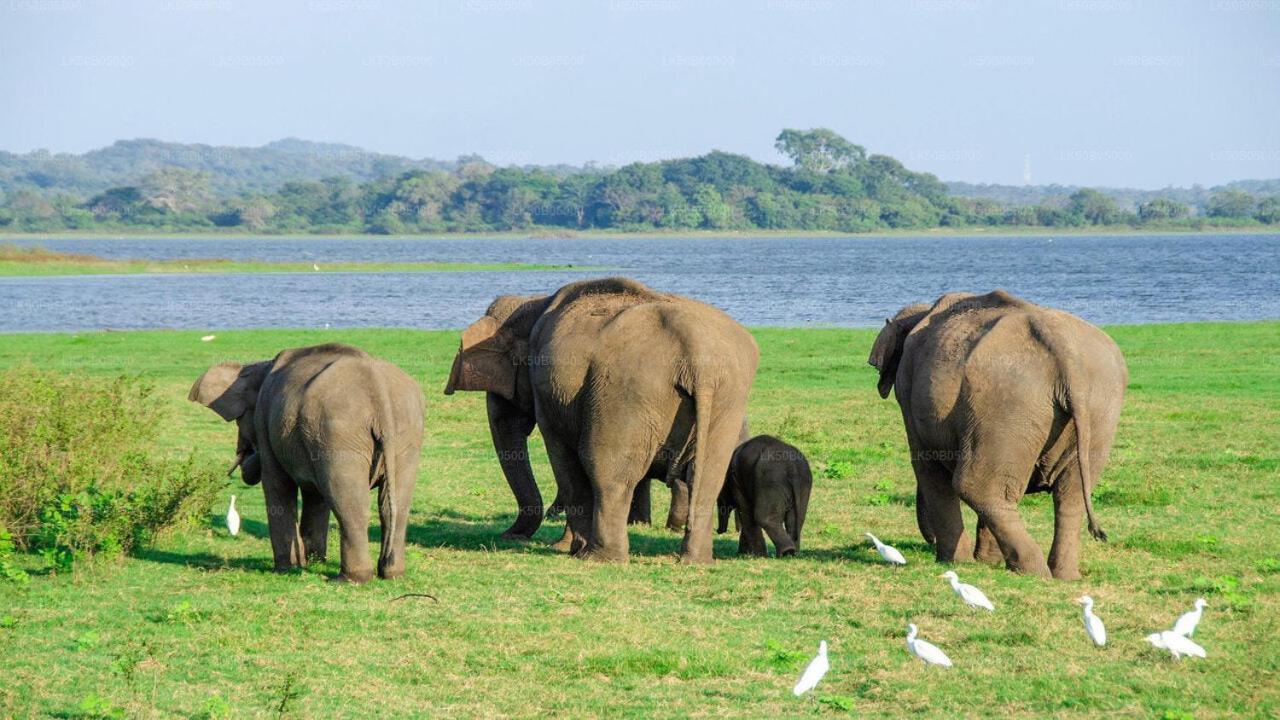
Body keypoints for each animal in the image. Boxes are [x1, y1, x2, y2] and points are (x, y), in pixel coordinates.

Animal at [189, 338, 427, 579]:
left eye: (240, 419)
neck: (260, 366)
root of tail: (379, 389)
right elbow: (316, 495)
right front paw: (314, 561)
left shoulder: (267, 422)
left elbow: (278, 484)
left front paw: (287, 568)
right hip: (405, 432)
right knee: (394, 503)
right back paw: (392, 572)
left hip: (339, 433)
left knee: (349, 501)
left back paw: (351, 579)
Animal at [445, 274, 752, 561]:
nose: (508, 536)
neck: (534, 301)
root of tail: (698, 359)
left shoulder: (547, 392)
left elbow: (562, 457)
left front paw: (564, 547)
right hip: (727, 397)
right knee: (708, 476)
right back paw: (695, 561)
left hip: (625, 392)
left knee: (605, 468)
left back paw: (598, 557)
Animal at [865, 286, 1126, 576]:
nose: (928, 540)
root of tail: (1063, 350)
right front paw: (987, 561)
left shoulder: (909, 396)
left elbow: (927, 466)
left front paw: (956, 562)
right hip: (1096, 407)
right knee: (1070, 494)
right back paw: (1063, 576)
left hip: (1006, 403)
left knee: (976, 486)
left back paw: (1033, 572)